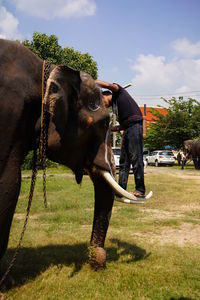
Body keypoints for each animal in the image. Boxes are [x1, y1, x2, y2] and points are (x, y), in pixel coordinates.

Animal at [0, 38, 142, 288]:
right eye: (101, 123)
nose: (97, 259)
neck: (47, 73)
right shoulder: (10, 113)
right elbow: (10, 183)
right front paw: (5, 284)